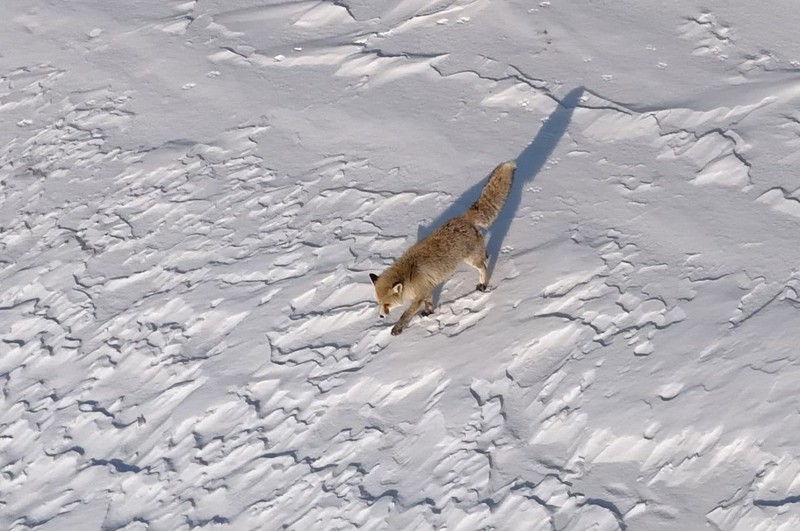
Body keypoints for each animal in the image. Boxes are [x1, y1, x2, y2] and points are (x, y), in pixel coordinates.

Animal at [370, 161, 516, 336]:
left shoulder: (419, 295)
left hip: (471, 260)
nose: (381, 316)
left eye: (387, 304)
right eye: (378, 303)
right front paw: (428, 313)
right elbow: (429, 303)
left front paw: (397, 328)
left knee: (483, 268)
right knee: (484, 257)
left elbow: (406, 314)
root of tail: (462, 218)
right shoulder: (426, 290)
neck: (409, 276)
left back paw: (483, 284)